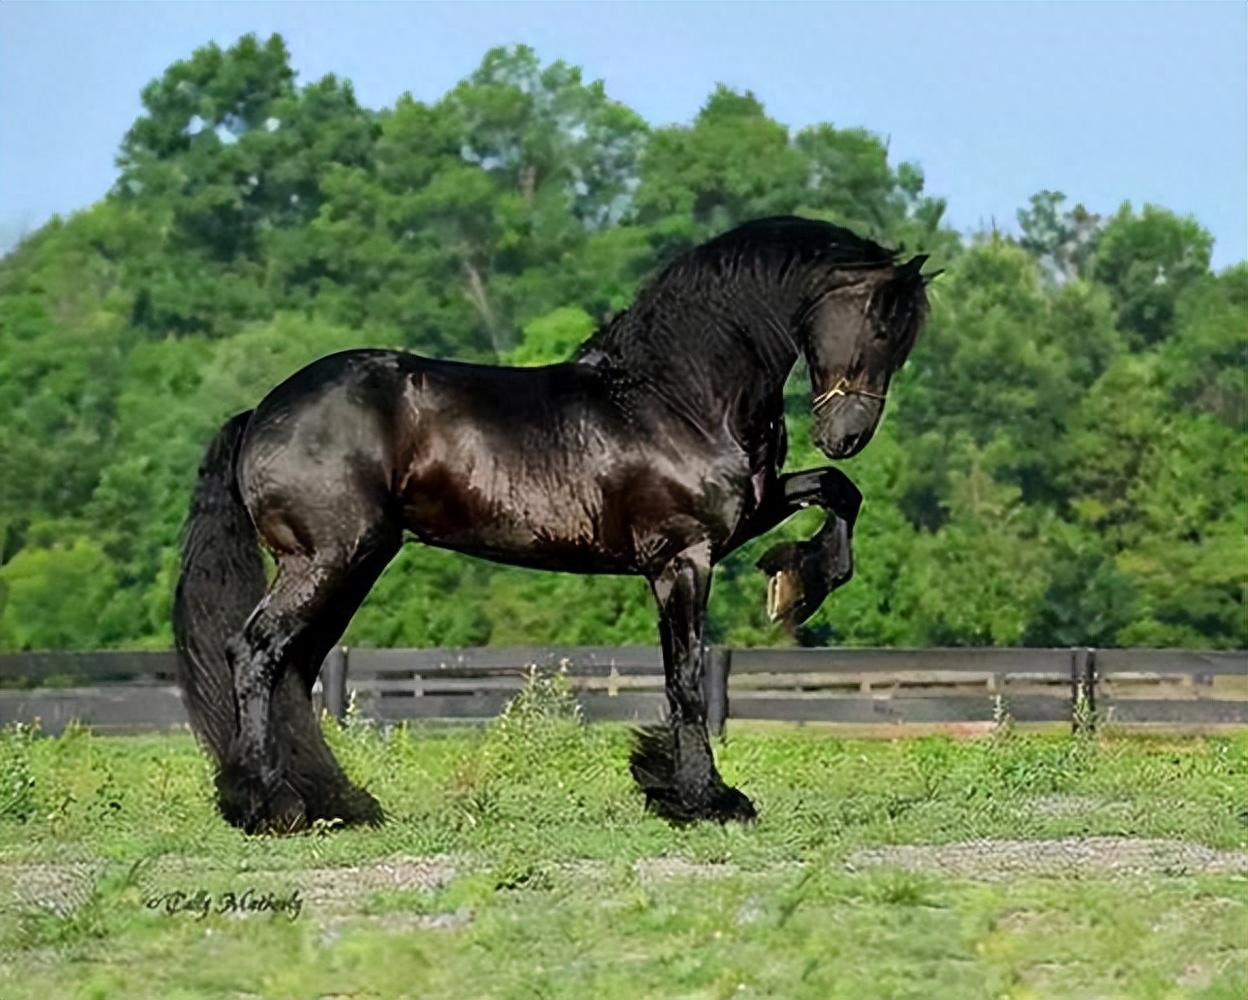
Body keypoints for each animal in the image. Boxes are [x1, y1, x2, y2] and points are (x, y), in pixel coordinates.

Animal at [170, 214, 933, 828]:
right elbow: (685, 679)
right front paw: (705, 798)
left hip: (354, 562)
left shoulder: (745, 516)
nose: (847, 434)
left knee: (294, 666)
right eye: (879, 323)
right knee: (256, 652)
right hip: (326, 559)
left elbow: (837, 491)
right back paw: (266, 804)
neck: (674, 395)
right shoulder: (683, 558)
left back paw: (335, 802)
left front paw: (797, 583)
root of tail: (262, 412)